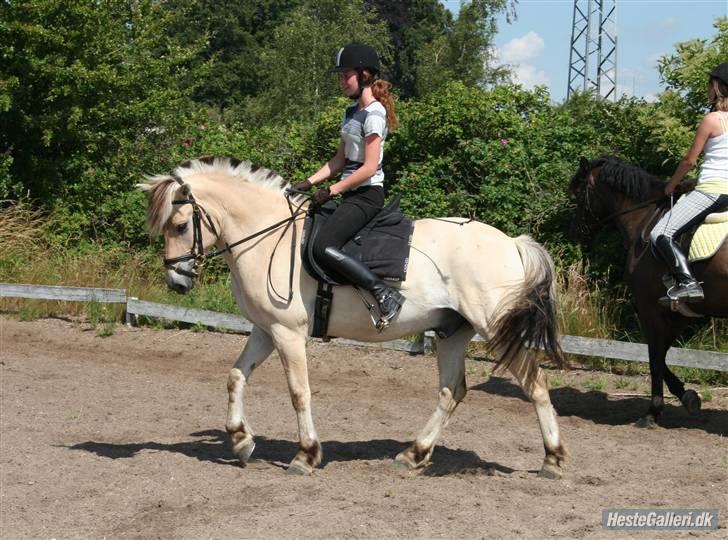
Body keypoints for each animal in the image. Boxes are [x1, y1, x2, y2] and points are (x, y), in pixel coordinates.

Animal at [572, 155, 724, 426]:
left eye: (580, 193)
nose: (577, 234)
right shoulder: (679, 312)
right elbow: (661, 356)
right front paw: (687, 397)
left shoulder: (649, 306)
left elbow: (654, 357)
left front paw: (653, 411)